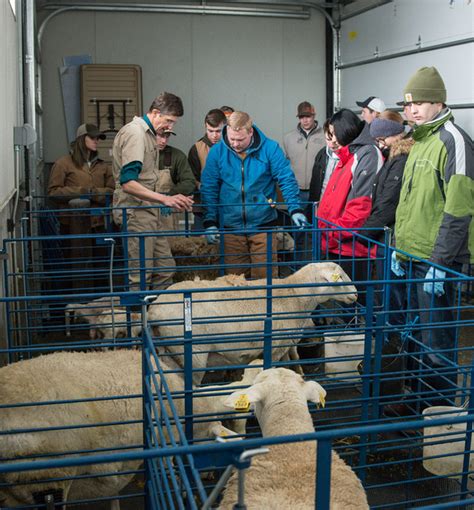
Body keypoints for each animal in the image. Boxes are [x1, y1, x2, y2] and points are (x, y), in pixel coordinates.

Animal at [148, 262, 356, 382]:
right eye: (339, 277)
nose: (356, 294)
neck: (293, 296)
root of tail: (154, 310)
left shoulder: (285, 344)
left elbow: (291, 361)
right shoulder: (274, 346)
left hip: (169, 352)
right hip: (193, 355)